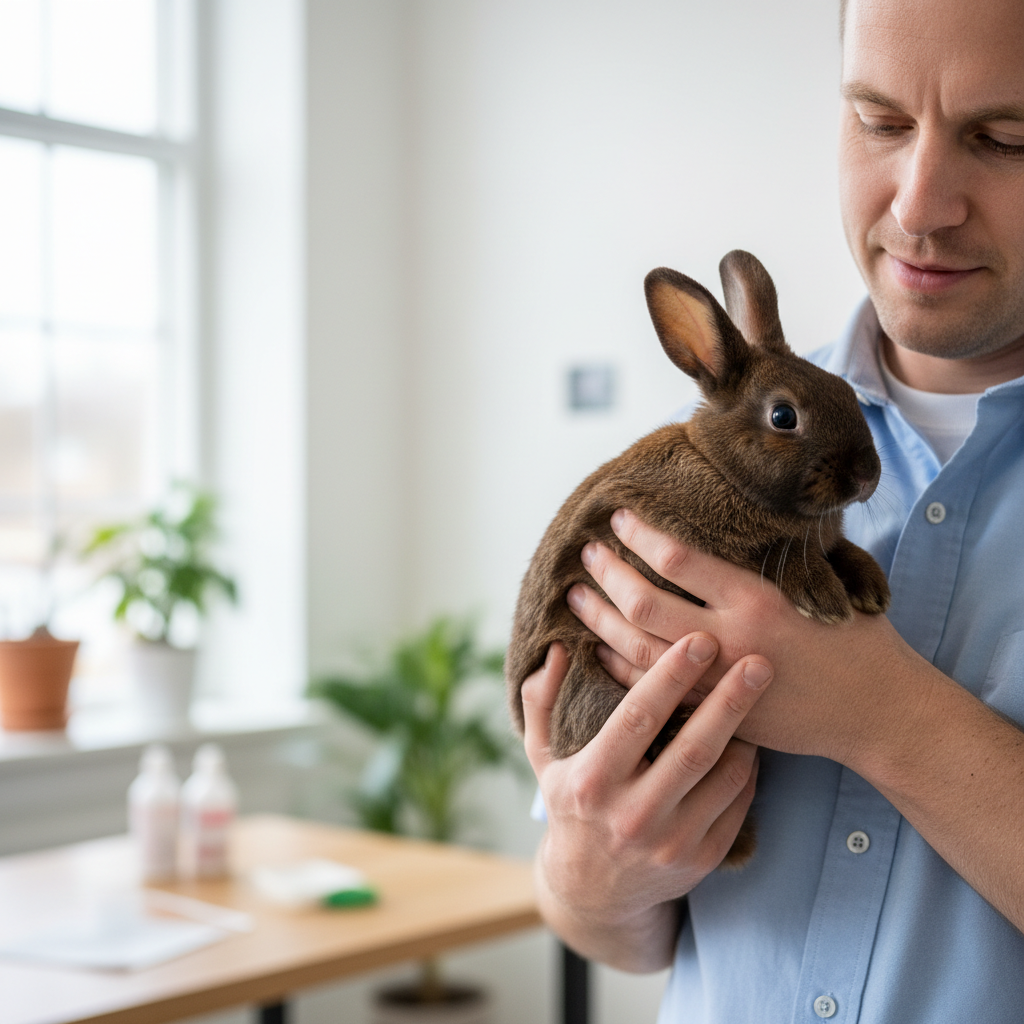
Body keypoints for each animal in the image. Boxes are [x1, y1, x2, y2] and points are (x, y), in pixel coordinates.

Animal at [506, 249, 890, 866]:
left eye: (849, 393)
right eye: (784, 417)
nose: (867, 475)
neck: (720, 466)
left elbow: (837, 547)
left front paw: (870, 585)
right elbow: (786, 555)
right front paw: (826, 597)